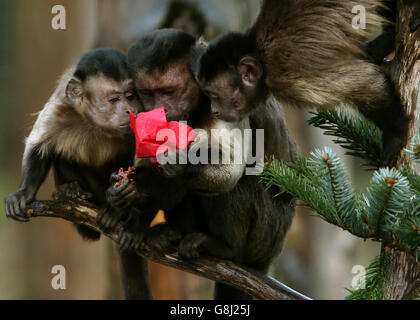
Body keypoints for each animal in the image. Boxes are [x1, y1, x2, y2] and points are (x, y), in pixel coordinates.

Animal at [3, 48, 151, 300]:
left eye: (131, 96)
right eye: (114, 100)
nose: (129, 110)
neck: (93, 123)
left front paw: (125, 203)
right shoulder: (59, 110)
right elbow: (39, 146)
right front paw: (24, 193)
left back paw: (120, 212)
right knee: (61, 152)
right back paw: (72, 190)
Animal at [103, 29, 296, 300]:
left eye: (168, 91)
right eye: (147, 93)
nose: (160, 108)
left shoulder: (226, 98)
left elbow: (231, 169)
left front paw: (180, 161)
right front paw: (128, 194)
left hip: (267, 234)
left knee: (238, 182)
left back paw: (226, 249)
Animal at [194, 1, 410, 168]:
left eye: (214, 95)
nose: (214, 110)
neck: (261, 56)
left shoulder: (285, 75)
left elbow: (365, 81)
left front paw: (395, 134)